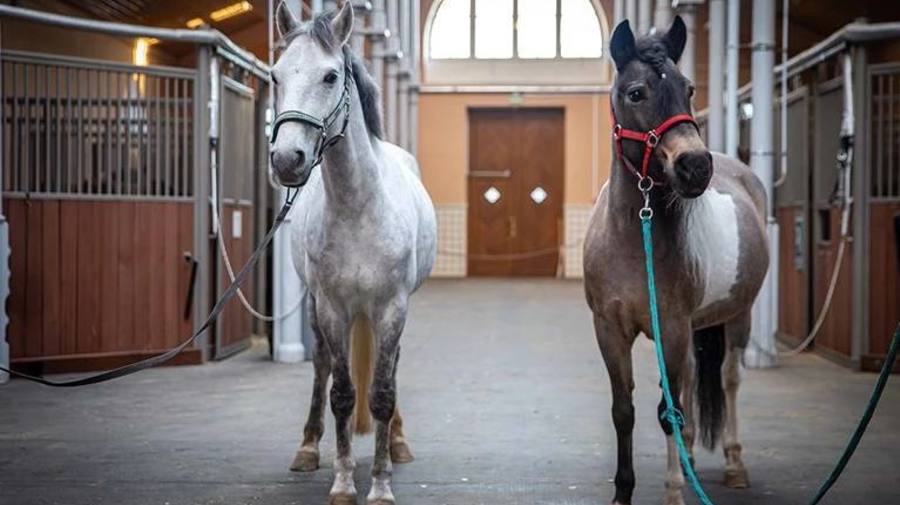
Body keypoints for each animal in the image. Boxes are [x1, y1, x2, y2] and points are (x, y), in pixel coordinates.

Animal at [269, 3, 437, 504]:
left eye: (330, 76)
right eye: (275, 75)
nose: (287, 160)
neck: (358, 206)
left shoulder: (391, 306)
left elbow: (380, 392)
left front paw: (380, 485)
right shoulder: (332, 307)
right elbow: (342, 393)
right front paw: (343, 483)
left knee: (391, 368)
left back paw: (397, 442)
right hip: (320, 308)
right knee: (322, 364)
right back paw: (307, 448)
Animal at [583, 17, 769, 505]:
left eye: (689, 89)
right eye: (636, 93)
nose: (695, 167)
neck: (636, 237)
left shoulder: (671, 326)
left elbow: (669, 411)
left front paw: (673, 492)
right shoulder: (610, 329)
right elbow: (625, 410)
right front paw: (623, 492)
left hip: (736, 316)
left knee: (728, 379)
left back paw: (734, 465)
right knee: (689, 381)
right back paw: (689, 463)